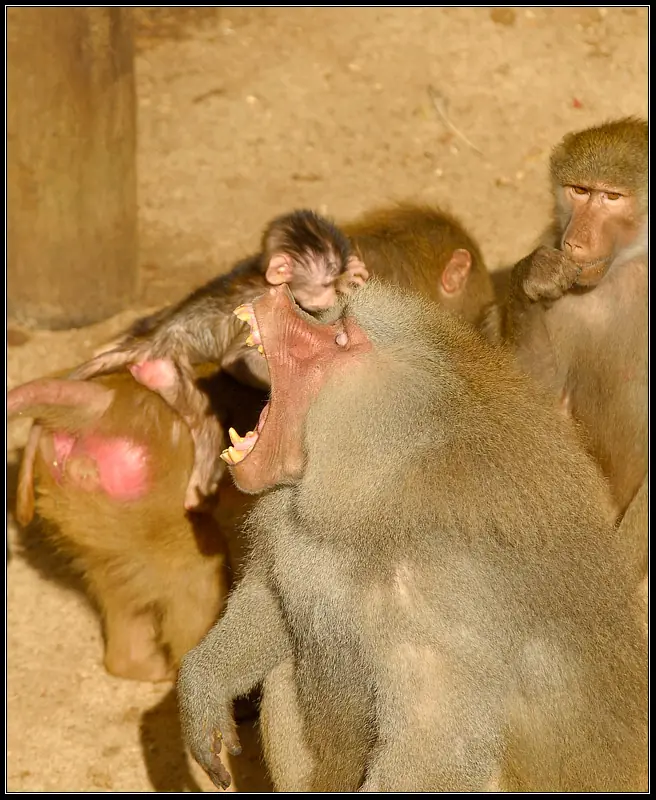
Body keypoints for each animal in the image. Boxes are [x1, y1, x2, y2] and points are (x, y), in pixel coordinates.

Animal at [69, 204, 495, 509]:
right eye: (325, 283)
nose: (336, 293)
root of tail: (154, 342)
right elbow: (242, 360)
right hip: (173, 366)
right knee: (202, 417)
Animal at [177, 280, 647, 792]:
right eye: (337, 320)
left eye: (341, 338)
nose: (279, 293)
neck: (377, 486)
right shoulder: (297, 533)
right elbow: (274, 600)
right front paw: (203, 687)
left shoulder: (443, 593)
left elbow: (435, 746)